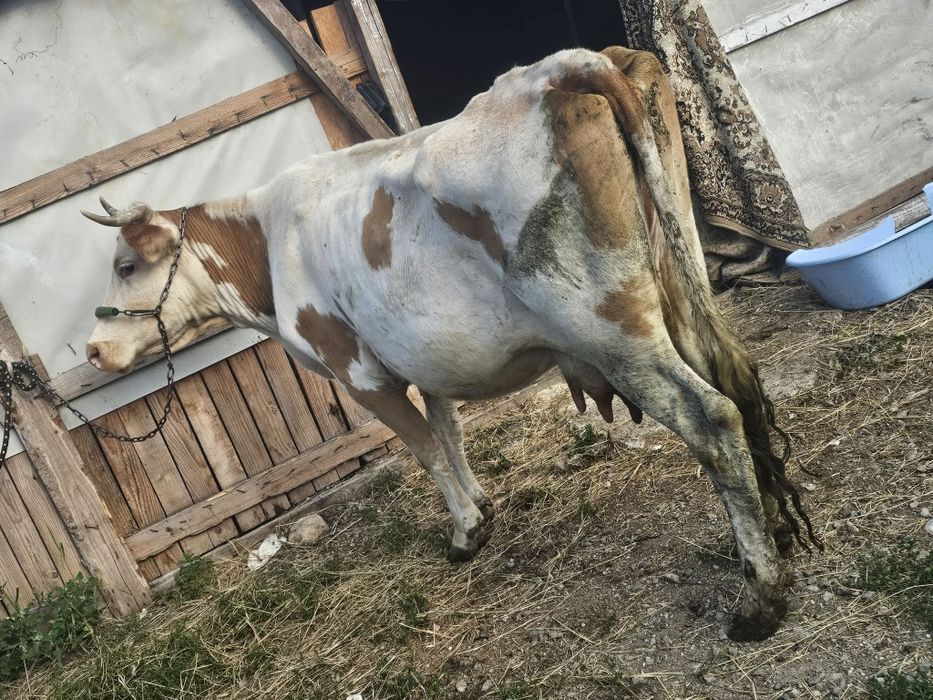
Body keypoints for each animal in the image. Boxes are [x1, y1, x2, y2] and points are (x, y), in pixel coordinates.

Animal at [82, 47, 818, 641]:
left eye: (126, 265)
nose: (91, 351)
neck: (264, 243)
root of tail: (562, 67)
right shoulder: (423, 357)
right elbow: (449, 431)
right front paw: (482, 505)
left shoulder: (357, 369)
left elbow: (425, 448)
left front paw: (466, 529)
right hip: (680, 276)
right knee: (737, 381)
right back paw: (778, 533)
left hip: (610, 327)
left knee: (710, 415)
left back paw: (760, 597)